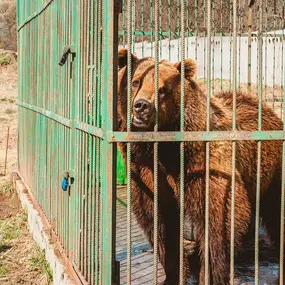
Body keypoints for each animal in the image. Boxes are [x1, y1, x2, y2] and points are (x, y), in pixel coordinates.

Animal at [116, 47, 251, 282]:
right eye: (135, 81)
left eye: (162, 89)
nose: (141, 106)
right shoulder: (145, 169)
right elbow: (158, 217)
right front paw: (173, 273)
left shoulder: (202, 164)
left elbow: (218, 218)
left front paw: (210, 274)